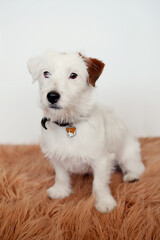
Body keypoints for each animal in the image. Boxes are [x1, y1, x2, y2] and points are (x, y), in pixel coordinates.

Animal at [27, 51, 145, 213]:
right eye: (46, 73)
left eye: (73, 75)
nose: (52, 96)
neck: (69, 124)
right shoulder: (56, 157)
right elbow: (61, 176)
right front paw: (61, 191)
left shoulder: (101, 160)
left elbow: (99, 184)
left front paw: (104, 202)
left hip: (127, 155)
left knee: (137, 167)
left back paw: (132, 176)